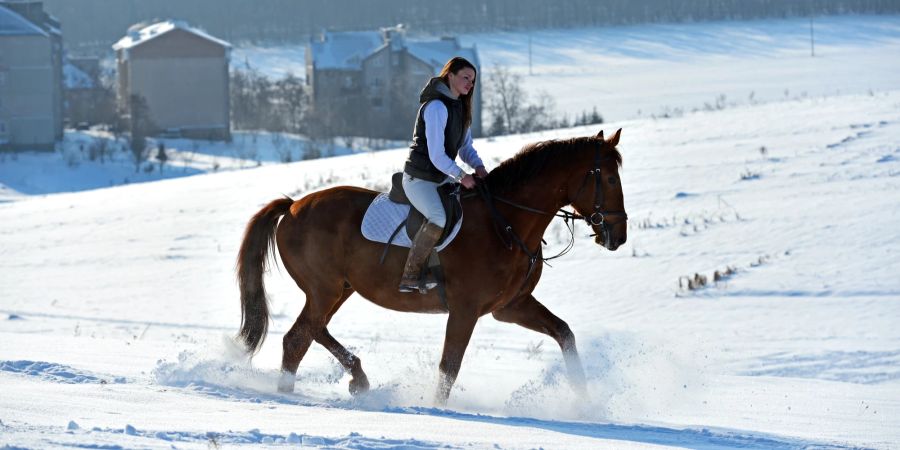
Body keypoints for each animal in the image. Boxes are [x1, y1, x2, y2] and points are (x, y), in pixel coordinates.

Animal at [239, 127, 628, 404]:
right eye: (609, 179)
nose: (619, 235)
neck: (504, 222)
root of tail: (293, 206)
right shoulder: (465, 310)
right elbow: (449, 368)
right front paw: (437, 410)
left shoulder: (511, 306)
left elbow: (564, 333)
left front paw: (584, 401)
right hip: (325, 290)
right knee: (301, 336)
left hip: (338, 290)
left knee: (308, 333)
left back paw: (344, 382)